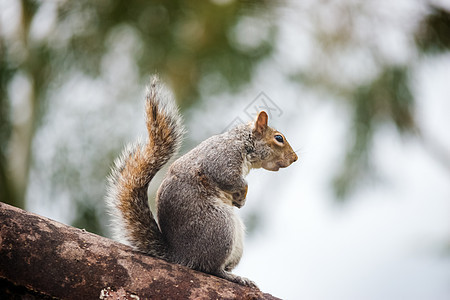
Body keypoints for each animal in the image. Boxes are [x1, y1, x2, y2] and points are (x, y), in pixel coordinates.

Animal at [105, 75, 298, 288]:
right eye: (279, 138)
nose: (295, 158)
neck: (243, 143)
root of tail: (180, 255)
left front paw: (240, 200)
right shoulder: (222, 160)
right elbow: (230, 179)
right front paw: (242, 196)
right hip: (220, 226)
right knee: (210, 268)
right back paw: (234, 277)